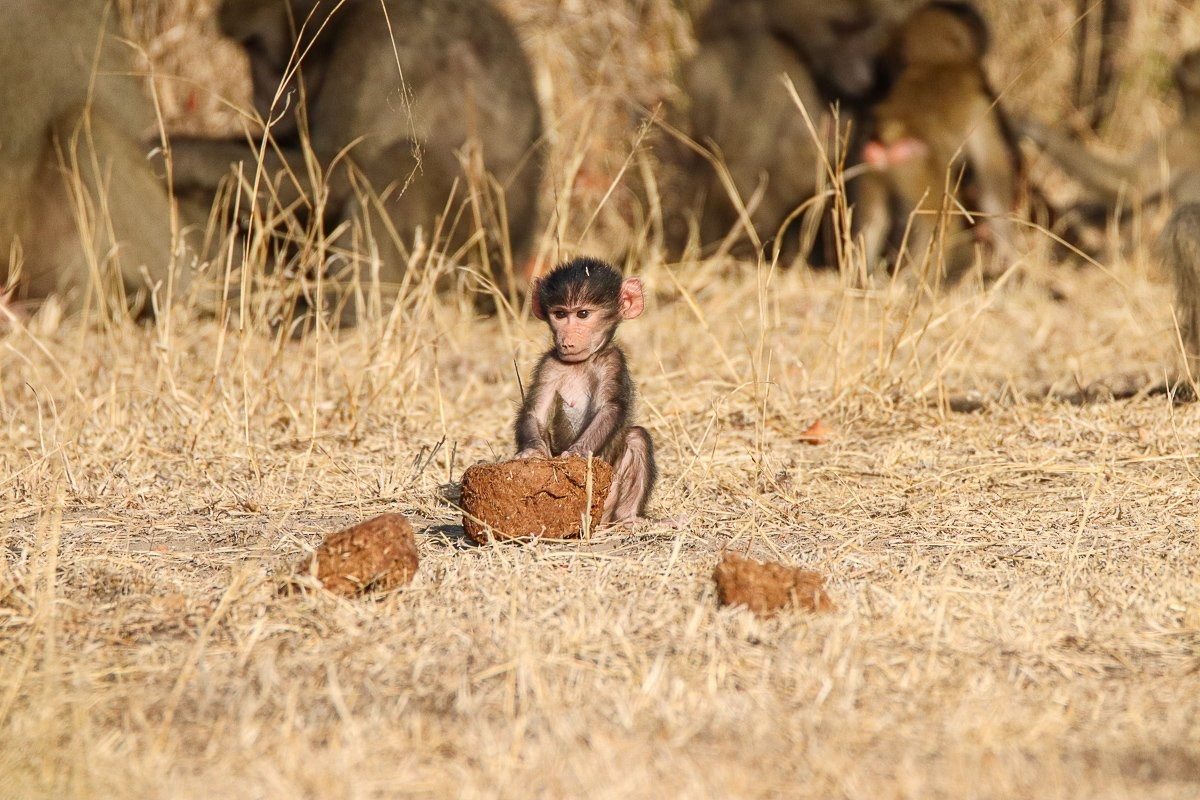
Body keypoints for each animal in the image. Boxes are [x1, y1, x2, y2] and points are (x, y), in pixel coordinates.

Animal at [169, 0, 543, 316]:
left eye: (254, 47)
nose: (258, 92)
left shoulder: (385, 43)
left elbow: (340, 168)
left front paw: (175, 156)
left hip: (462, 255)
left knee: (397, 161)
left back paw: (345, 317)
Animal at [514, 257, 656, 525]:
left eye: (583, 314)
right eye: (560, 314)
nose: (567, 340)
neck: (581, 362)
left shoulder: (612, 362)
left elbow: (610, 407)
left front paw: (577, 453)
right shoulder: (549, 365)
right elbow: (535, 412)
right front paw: (531, 451)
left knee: (637, 438)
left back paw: (629, 519)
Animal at [852, 0, 1019, 281]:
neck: (937, 62)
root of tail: (894, 131)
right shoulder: (981, 104)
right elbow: (992, 175)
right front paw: (1008, 250)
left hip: (875, 162)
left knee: (875, 220)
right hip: (918, 166)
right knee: (943, 224)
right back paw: (915, 279)